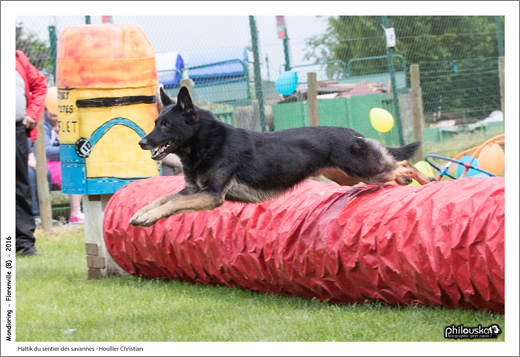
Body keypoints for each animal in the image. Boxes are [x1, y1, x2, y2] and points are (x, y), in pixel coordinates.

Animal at [130, 86, 434, 225]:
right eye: (156, 122)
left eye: (166, 125)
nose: (141, 142)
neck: (204, 142)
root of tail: (350, 131)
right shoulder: (193, 191)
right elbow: (163, 198)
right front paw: (141, 213)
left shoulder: (212, 196)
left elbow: (172, 203)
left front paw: (147, 218)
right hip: (348, 177)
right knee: (395, 165)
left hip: (364, 171)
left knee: (402, 163)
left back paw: (427, 182)